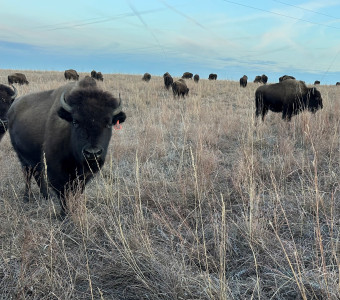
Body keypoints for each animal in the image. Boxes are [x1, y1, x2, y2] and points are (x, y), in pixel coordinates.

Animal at [6, 77, 126, 218]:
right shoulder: (56, 171)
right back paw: (27, 197)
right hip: (22, 157)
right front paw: (64, 214)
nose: (92, 153)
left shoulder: (83, 175)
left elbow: (77, 192)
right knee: (28, 174)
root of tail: (13, 107)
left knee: (37, 174)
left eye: (108, 123)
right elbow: (63, 193)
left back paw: (46, 196)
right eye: (75, 121)